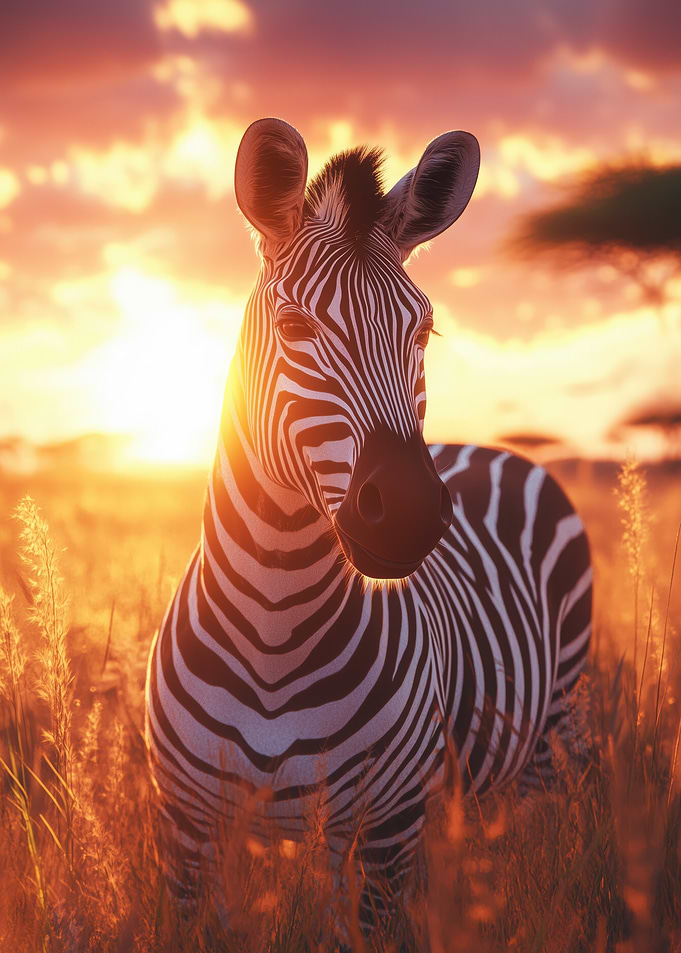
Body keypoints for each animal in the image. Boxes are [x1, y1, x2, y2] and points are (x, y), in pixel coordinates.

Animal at [145, 118, 592, 932]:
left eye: (424, 331)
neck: (274, 636)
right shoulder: (189, 830)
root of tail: (489, 448)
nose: (410, 512)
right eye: (293, 326)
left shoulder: (384, 828)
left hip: (557, 723)